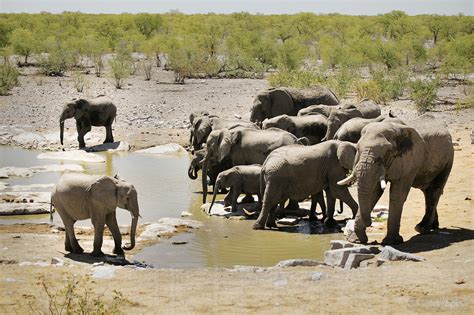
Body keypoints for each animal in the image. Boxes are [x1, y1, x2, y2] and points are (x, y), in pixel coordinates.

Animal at [336, 115, 456, 246]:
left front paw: (391, 242)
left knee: (435, 191)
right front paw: (356, 240)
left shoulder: (409, 160)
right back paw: (432, 226)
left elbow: (397, 195)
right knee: (427, 191)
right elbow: (373, 193)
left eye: (387, 152)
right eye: (357, 148)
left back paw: (422, 228)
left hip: (448, 159)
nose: (370, 223)